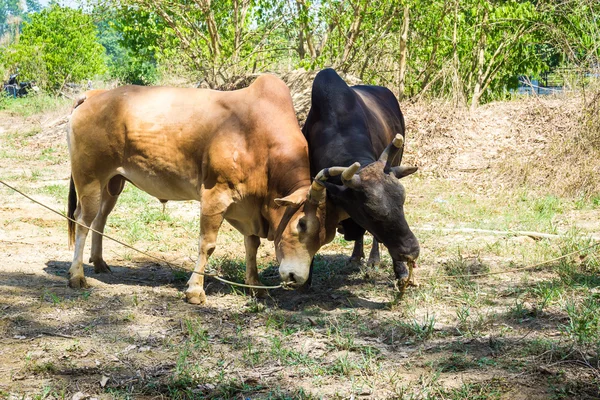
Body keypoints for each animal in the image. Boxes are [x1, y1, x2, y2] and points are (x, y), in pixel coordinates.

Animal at [66, 76, 340, 304]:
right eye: (301, 225)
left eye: (327, 238)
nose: (296, 277)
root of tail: (94, 94)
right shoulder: (215, 195)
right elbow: (207, 244)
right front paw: (195, 290)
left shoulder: (249, 207)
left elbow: (251, 244)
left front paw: (255, 286)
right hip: (89, 178)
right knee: (82, 221)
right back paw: (77, 275)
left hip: (112, 183)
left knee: (100, 219)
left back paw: (99, 263)